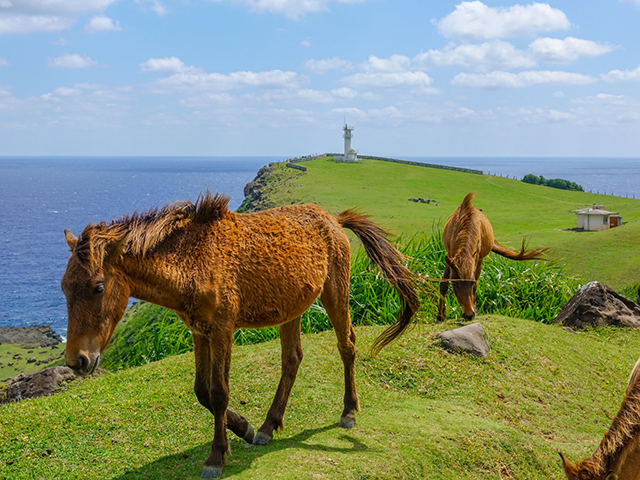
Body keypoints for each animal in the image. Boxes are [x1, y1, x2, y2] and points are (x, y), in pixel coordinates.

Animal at [60, 192, 420, 480]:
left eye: (98, 287)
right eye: (64, 288)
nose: (78, 361)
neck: (192, 260)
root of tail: (332, 219)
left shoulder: (222, 331)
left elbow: (219, 393)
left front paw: (216, 456)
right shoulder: (199, 332)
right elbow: (202, 391)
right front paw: (243, 428)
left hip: (335, 292)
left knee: (346, 346)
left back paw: (348, 412)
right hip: (291, 309)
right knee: (292, 359)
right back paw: (267, 427)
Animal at [438, 192, 548, 322]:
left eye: (471, 283)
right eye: (455, 284)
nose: (469, 315)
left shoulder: (476, 260)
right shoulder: (450, 257)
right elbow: (443, 284)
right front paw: (440, 316)